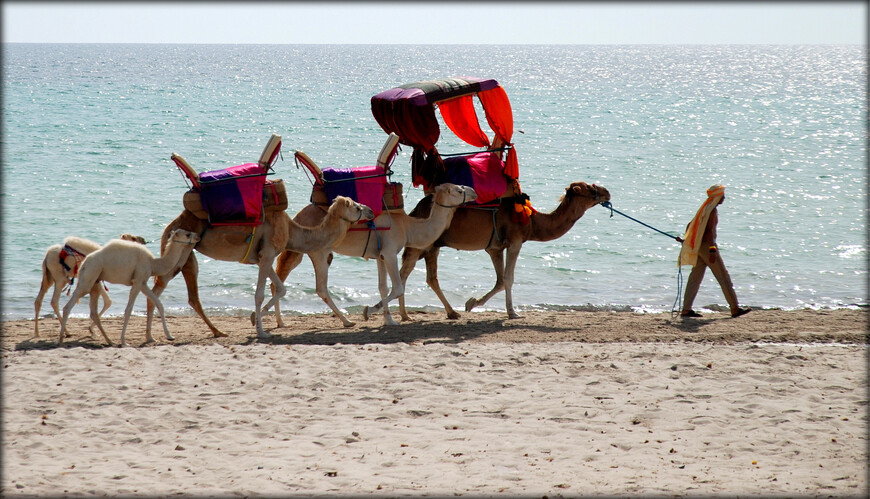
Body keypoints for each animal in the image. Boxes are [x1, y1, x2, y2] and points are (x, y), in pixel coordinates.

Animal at [58, 230, 201, 348]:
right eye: (187, 234)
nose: (198, 236)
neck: (153, 263)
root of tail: (84, 262)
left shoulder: (143, 283)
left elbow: (159, 303)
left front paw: (169, 336)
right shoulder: (137, 282)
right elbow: (128, 310)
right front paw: (124, 341)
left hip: (95, 281)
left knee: (93, 311)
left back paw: (109, 341)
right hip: (89, 277)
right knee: (68, 306)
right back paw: (61, 340)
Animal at [144, 197, 374, 342]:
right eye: (355, 207)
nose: (370, 210)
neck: (291, 229)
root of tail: (171, 225)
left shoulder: (262, 257)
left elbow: (280, 288)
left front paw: (255, 318)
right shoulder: (268, 254)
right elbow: (260, 293)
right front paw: (262, 331)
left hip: (185, 256)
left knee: (171, 294)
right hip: (181, 251)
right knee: (161, 290)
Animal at [270, 184, 480, 328]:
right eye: (459, 190)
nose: (474, 191)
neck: (408, 227)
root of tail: (297, 216)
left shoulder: (380, 256)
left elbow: (383, 287)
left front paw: (389, 320)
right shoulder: (390, 252)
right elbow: (397, 288)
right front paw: (368, 311)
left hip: (300, 251)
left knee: (280, 279)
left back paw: (280, 322)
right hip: (318, 251)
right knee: (320, 288)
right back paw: (346, 321)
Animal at [400, 181, 612, 320]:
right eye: (590, 188)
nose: (607, 192)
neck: (533, 222)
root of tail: (415, 210)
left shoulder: (495, 248)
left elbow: (500, 280)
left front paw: (472, 303)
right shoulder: (515, 242)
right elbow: (509, 278)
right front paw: (512, 313)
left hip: (432, 246)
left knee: (430, 277)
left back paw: (452, 312)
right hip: (421, 245)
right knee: (405, 273)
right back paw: (405, 315)